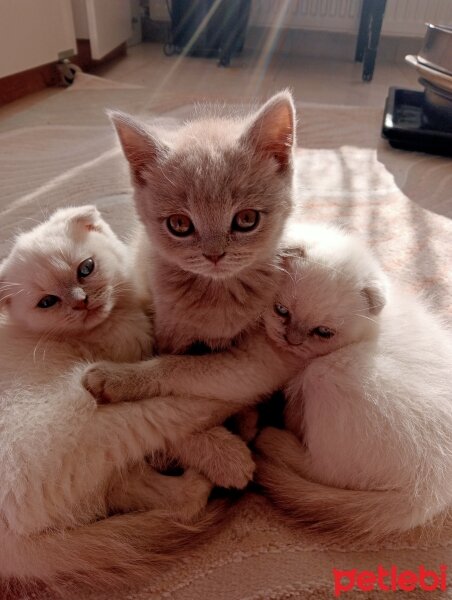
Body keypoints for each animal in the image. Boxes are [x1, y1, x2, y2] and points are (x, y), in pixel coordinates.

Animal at [0, 207, 247, 596]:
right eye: (47, 302)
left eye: (85, 268)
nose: (81, 301)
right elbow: (179, 426)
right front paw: (224, 453)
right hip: (77, 424)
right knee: (177, 417)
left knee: (167, 496)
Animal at [83, 91, 298, 474]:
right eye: (180, 225)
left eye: (246, 219)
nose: (214, 255)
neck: (217, 294)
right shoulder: (170, 329)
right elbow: (176, 377)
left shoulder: (254, 342)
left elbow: (190, 371)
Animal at [254, 223, 452, 540]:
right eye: (281, 311)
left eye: (323, 332)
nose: (292, 340)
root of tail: (431, 491)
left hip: (324, 375)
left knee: (320, 468)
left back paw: (270, 437)